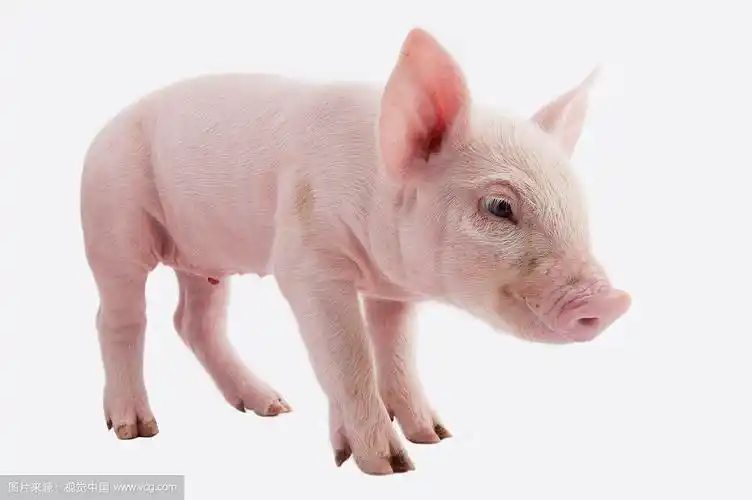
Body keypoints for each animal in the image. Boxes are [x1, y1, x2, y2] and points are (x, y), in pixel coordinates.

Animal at [80, 27, 631, 475]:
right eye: (499, 206)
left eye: (580, 206)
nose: (611, 300)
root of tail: (105, 128)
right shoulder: (305, 261)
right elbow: (348, 357)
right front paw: (390, 466)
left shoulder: (394, 287)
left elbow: (395, 351)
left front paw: (434, 437)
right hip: (112, 222)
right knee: (119, 318)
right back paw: (135, 429)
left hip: (205, 257)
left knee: (195, 322)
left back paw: (272, 406)